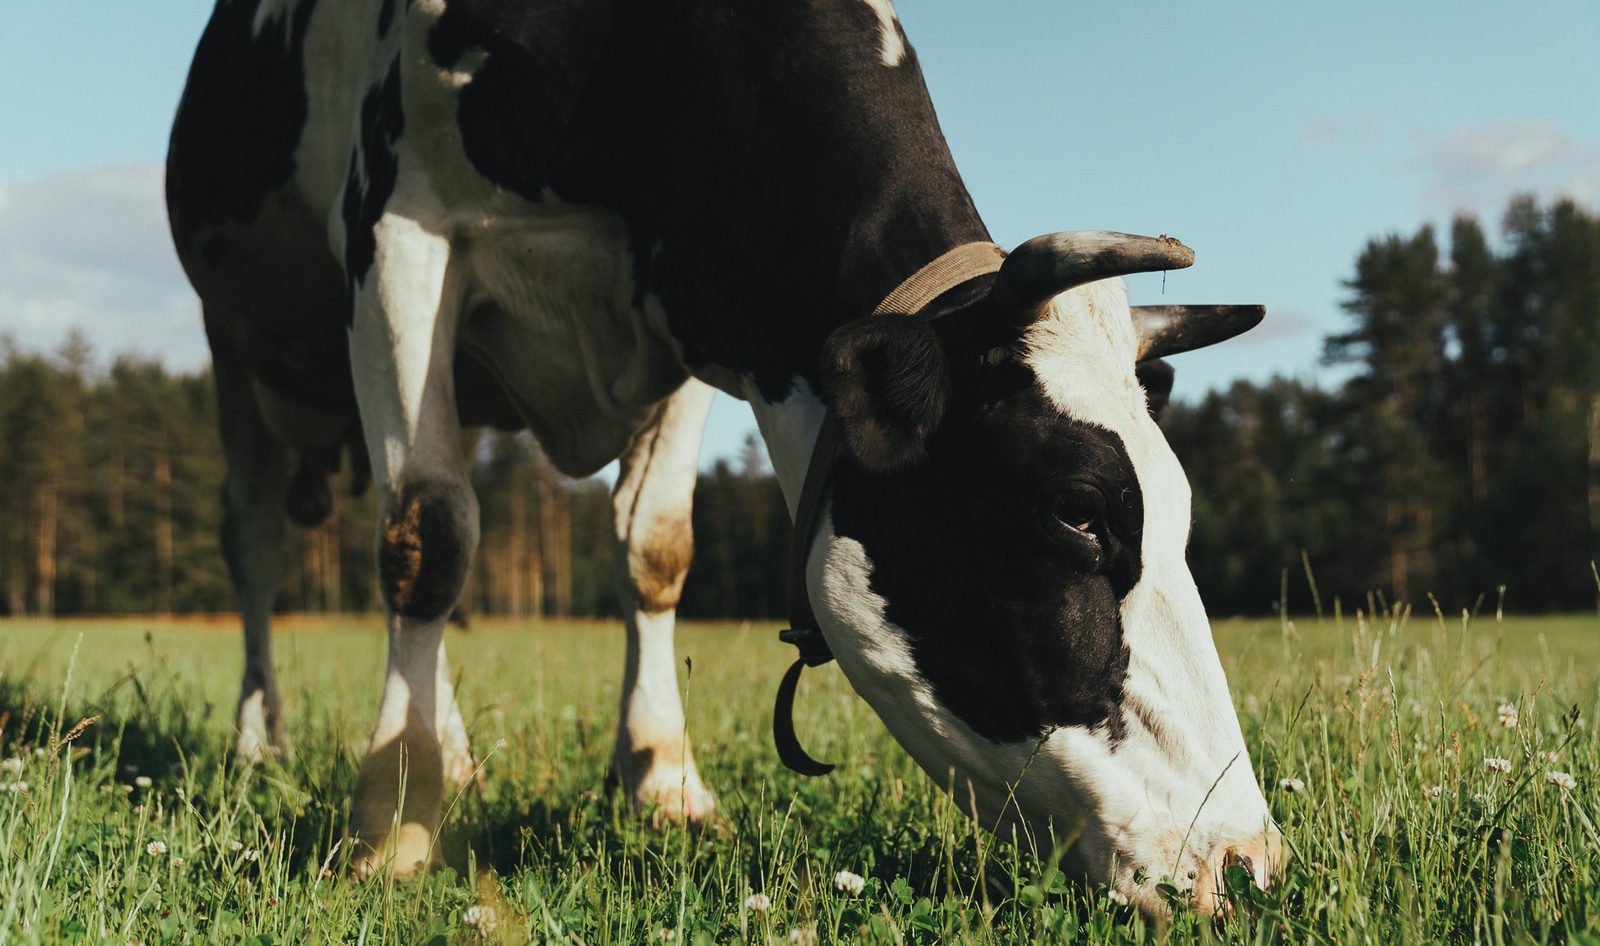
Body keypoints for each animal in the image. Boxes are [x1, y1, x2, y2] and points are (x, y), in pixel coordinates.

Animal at [166, 0, 1280, 914]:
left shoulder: (699, 309)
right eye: (1075, 510)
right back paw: (262, 742)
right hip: (233, 344)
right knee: (265, 542)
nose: (1245, 860)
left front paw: (664, 782)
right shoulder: (398, 231)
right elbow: (426, 536)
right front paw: (392, 820)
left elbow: (655, 549)